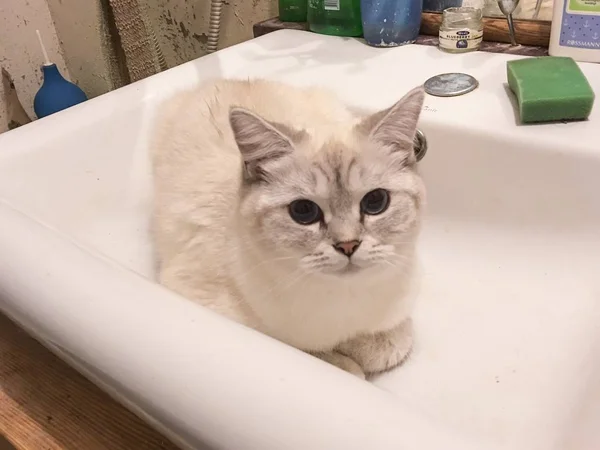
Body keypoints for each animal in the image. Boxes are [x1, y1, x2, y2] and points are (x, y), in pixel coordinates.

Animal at [152, 79, 424, 378]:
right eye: (303, 211)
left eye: (375, 201)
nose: (348, 245)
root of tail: (219, 80)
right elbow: (320, 353)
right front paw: (349, 363)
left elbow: (393, 340)